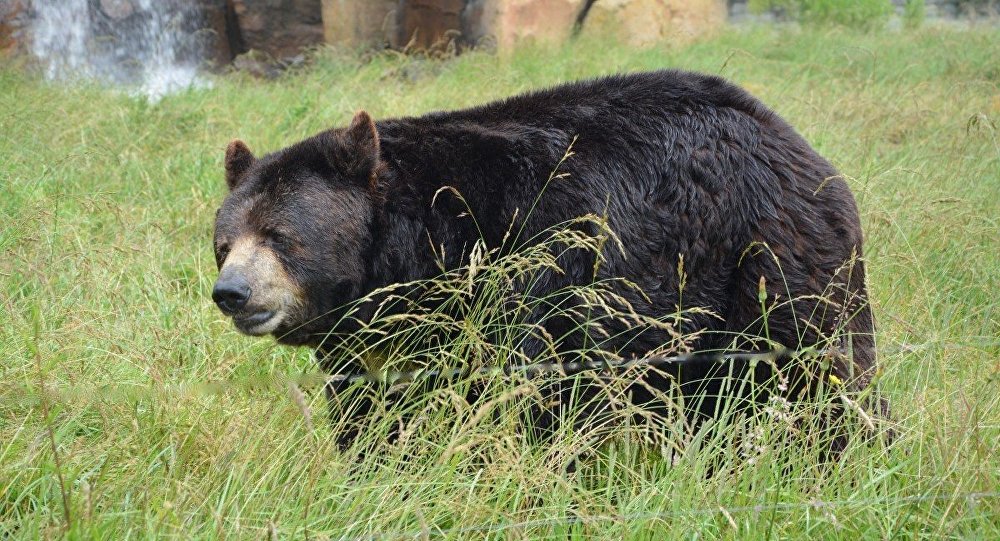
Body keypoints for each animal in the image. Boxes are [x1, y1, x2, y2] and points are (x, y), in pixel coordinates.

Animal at [211, 69, 884, 450]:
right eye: (223, 242)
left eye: (279, 235)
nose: (232, 293)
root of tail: (792, 139)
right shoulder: (374, 349)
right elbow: (372, 415)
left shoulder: (531, 278)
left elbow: (523, 401)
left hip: (766, 261)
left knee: (816, 372)